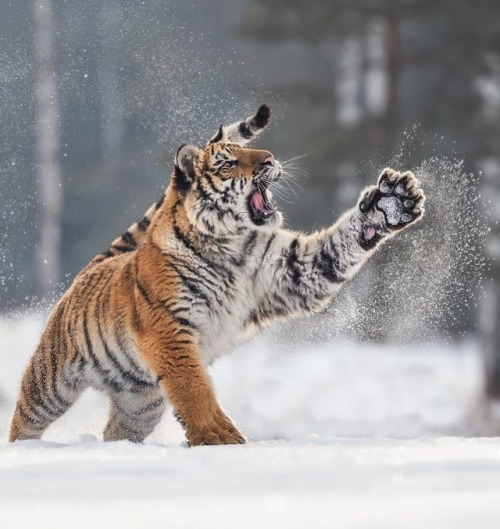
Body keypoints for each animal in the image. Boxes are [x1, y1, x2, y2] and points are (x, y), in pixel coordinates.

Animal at [8, 105, 426, 444]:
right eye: (228, 162)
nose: (270, 158)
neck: (232, 246)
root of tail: (94, 265)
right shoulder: (169, 327)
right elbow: (195, 390)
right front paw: (219, 439)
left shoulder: (295, 274)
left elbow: (340, 245)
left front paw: (391, 203)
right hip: (50, 383)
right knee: (24, 420)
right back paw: (24, 451)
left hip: (140, 403)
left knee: (117, 431)